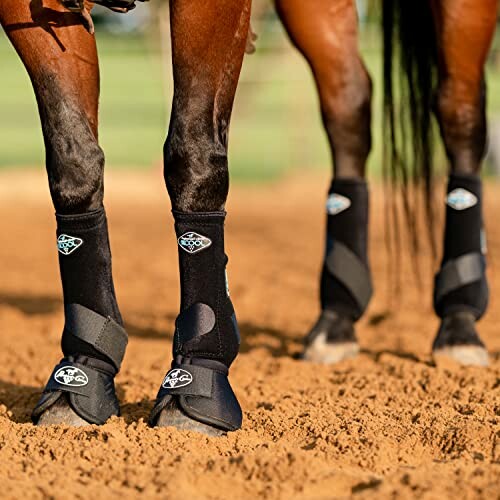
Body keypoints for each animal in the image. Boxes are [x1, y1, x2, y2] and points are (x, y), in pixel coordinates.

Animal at [1, 0, 496, 438]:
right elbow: (74, 163)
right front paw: (80, 377)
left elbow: (193, 155)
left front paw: (197, 381)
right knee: (349, 105)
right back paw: (336, 319)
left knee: (459, 111)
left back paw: (459, 324)